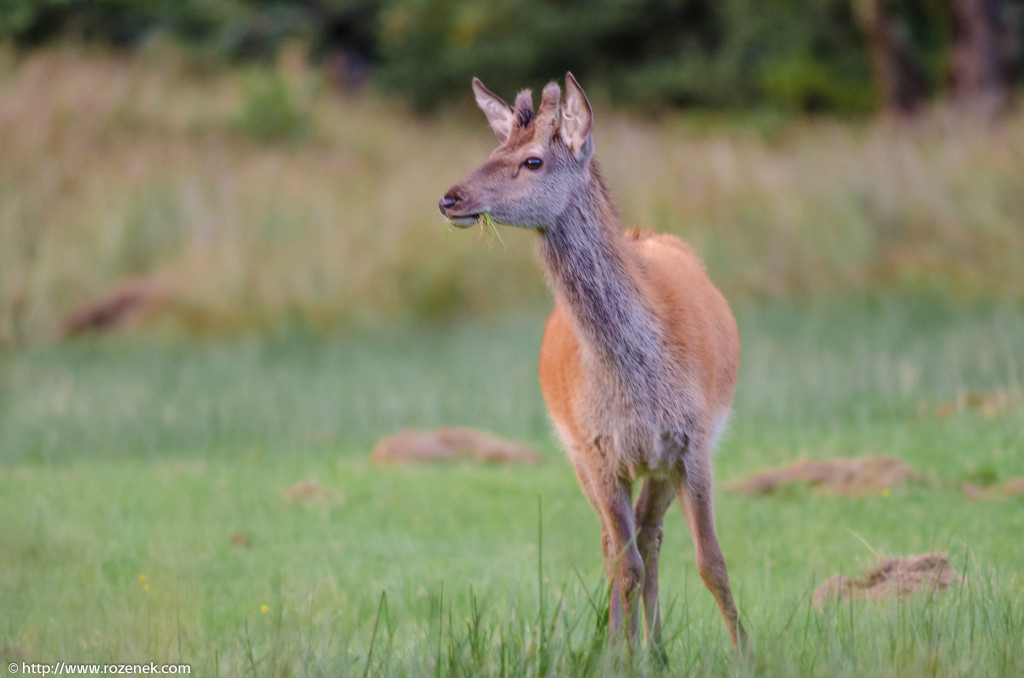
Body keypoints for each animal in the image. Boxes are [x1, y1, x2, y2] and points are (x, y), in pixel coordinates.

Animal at [438, 73, 745, 655]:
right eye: (492, 152)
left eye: (532, 160)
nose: (449, 197)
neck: (637, 379)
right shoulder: (598, 449)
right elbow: (624, 566)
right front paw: (617, 657)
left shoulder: (694, 441)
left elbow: (713, 563)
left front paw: (747, 654)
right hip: (579, 453)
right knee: (617, 544)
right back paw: (634, 646)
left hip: (658, 463)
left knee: (650, 535)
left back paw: (657, 650)